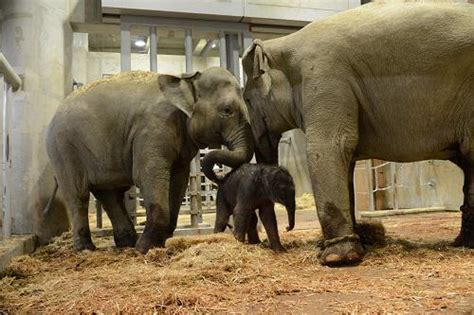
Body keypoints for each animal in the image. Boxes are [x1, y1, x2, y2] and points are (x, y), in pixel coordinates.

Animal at [47, 68, 256, 254]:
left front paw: (158, 244)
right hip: (64, 148)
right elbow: (148, 175)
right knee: (78, 194)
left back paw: (127, 243)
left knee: (110, 195)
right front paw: (145, 249)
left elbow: (178, 180)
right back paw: (86, 249)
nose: (220, 178)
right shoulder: (154, 127)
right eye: (227, 110)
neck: (185, 78)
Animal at [241, 3, 474, 266]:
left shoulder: (324, 75)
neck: (283, 42)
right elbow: (346, 158)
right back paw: (463, 243)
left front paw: (335, 258)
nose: (275, 246)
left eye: (247, 100)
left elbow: (330, 147)